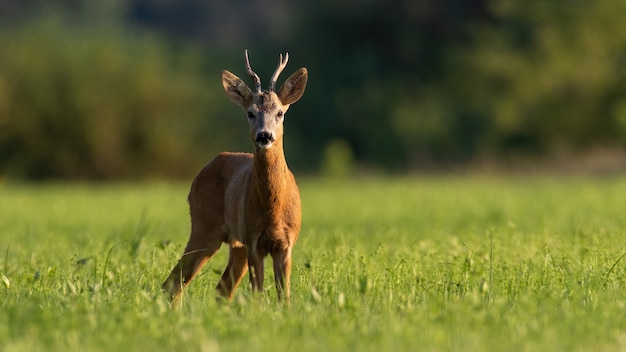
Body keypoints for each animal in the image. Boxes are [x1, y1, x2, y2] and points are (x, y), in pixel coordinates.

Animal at [161, 50, 308, 306]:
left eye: (280, 113)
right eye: (250, 113)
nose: (264, 136)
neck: (273, 210)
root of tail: (199, 174)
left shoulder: (286, 243)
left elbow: (284, 296)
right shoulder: (253, 240)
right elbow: (258, 293)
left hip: (235, 243)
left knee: (220, 290)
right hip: (204, 228)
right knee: (174, 283)